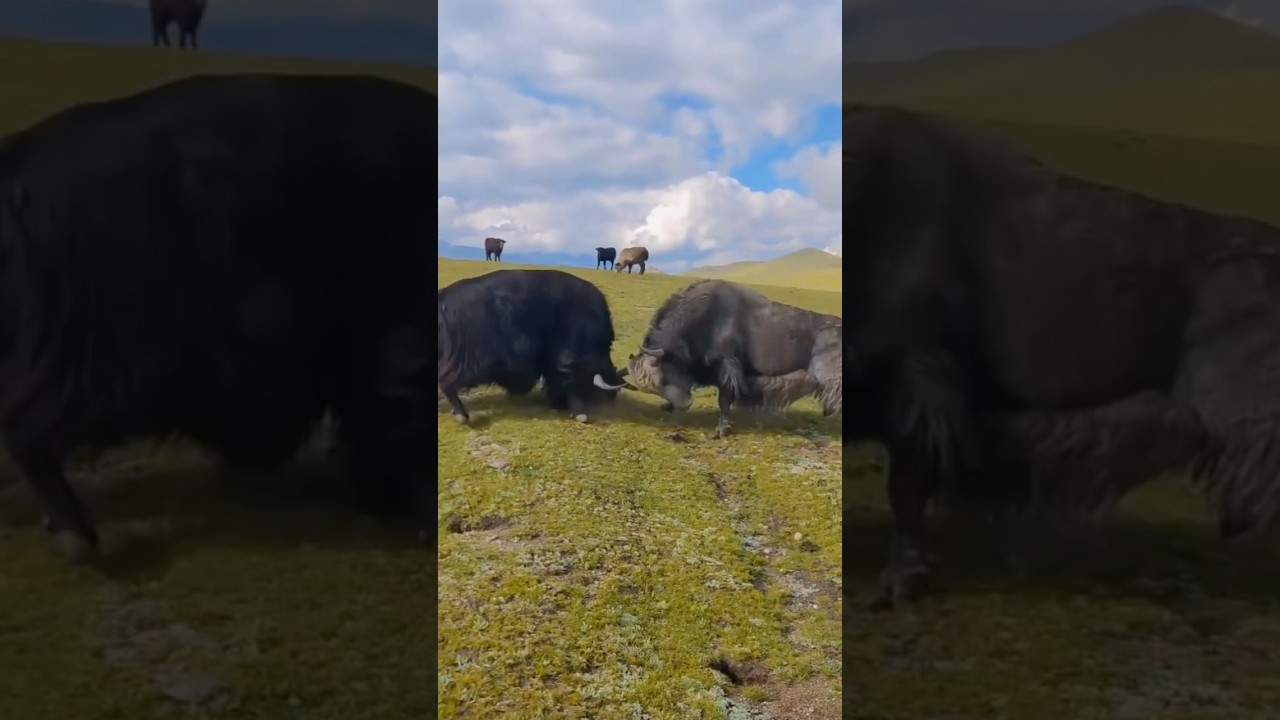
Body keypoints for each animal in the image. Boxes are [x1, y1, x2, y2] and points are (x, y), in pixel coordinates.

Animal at [438, 269, 628, 424]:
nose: (612, 400)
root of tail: (445, 296)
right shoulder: (569, 357)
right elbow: (570, 382)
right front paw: (580, 413)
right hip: (473, 362)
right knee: (447, 380)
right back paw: (462, 415)